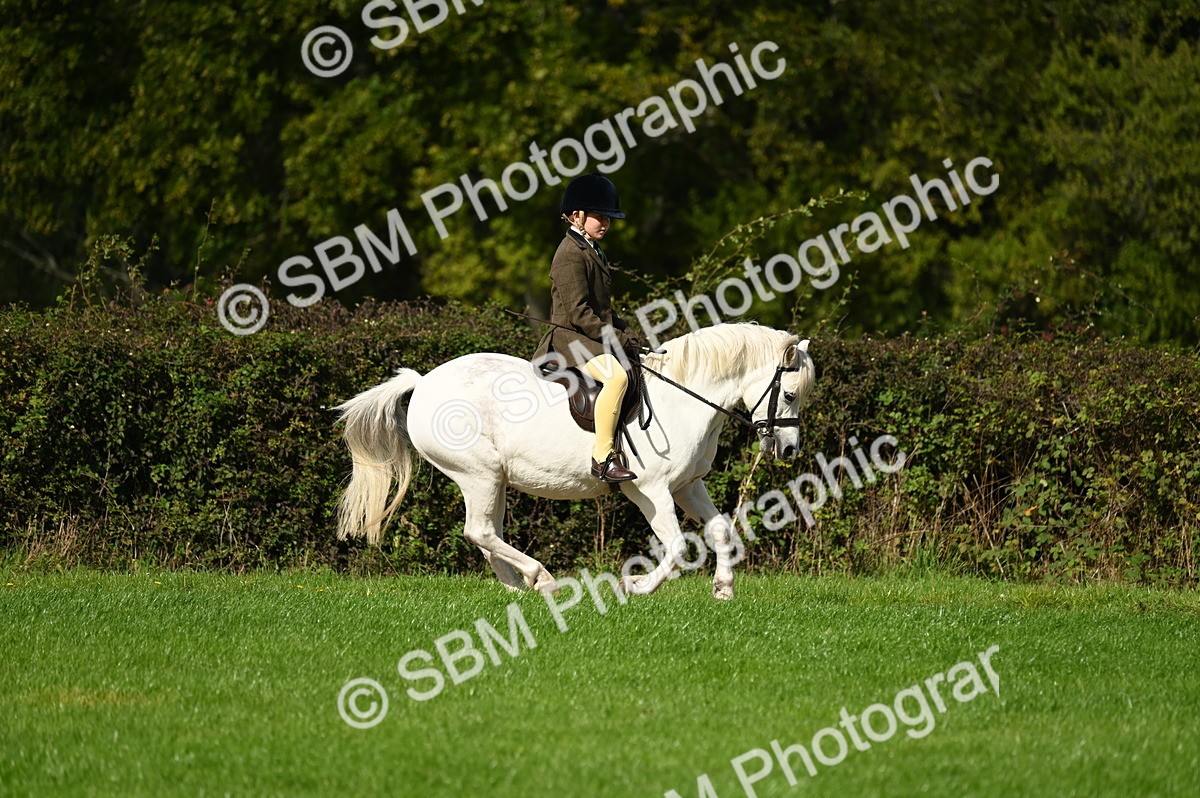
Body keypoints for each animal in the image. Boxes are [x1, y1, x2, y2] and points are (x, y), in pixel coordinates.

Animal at [333, 323, 816, 600]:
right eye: (790, 394)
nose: (789, 451)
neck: (683, 397)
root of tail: (423, 382)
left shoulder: (686, 485)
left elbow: (720, 531)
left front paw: (723, 589)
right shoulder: (650, 489)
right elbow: (678, 546)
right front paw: (637, 586)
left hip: (494, 480)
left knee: (488, 532)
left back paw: (517, 586)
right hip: (478, 474)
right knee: (480, 531)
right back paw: (540, 578)